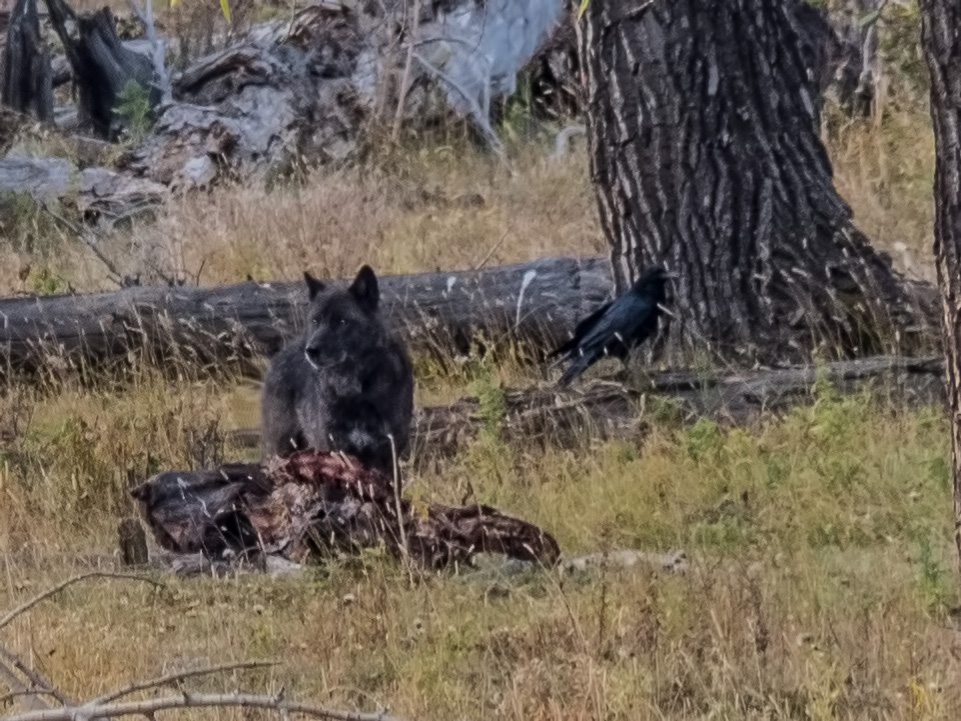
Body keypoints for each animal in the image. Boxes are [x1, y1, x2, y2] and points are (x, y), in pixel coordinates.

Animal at [260, 265, 414, 475]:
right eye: (315, 321)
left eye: (342, 321)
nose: (311, 350)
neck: (355, 391)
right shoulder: (334, 449)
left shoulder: (389, 453)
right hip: (282, 448)